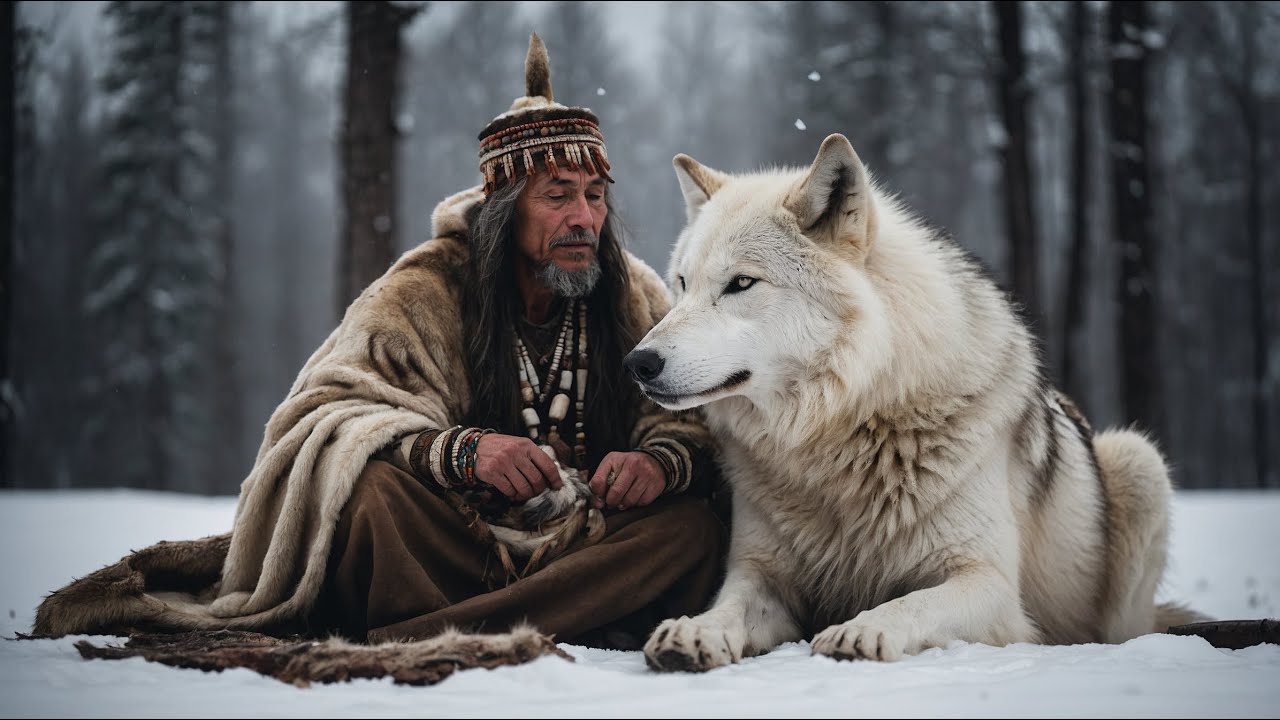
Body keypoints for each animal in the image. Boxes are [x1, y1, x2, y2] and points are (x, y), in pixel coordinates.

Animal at [624, 133, 1204, 671]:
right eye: (682, 283)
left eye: (741, 283)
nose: (638, 362)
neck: (842, 431)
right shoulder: (760, 572)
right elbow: (728, 606)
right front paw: (693, 632)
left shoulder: (989, 585)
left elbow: (911, 603)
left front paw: (861, 630)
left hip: (1139, 460)